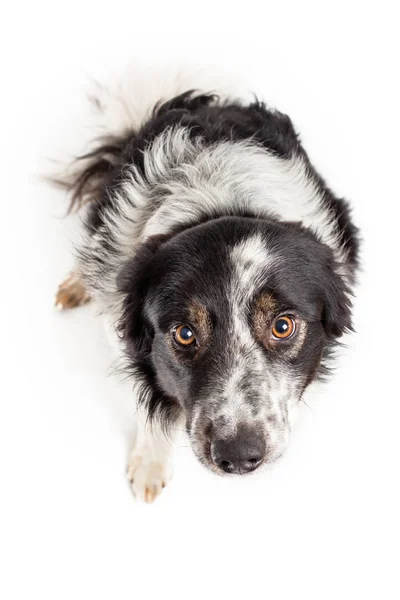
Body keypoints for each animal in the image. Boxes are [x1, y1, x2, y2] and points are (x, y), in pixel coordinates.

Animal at [53, 69, 360, 502]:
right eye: (184, 333)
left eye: (283, 326)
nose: (238, 455)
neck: (223, 199)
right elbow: (148, 407)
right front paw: (151, 464)